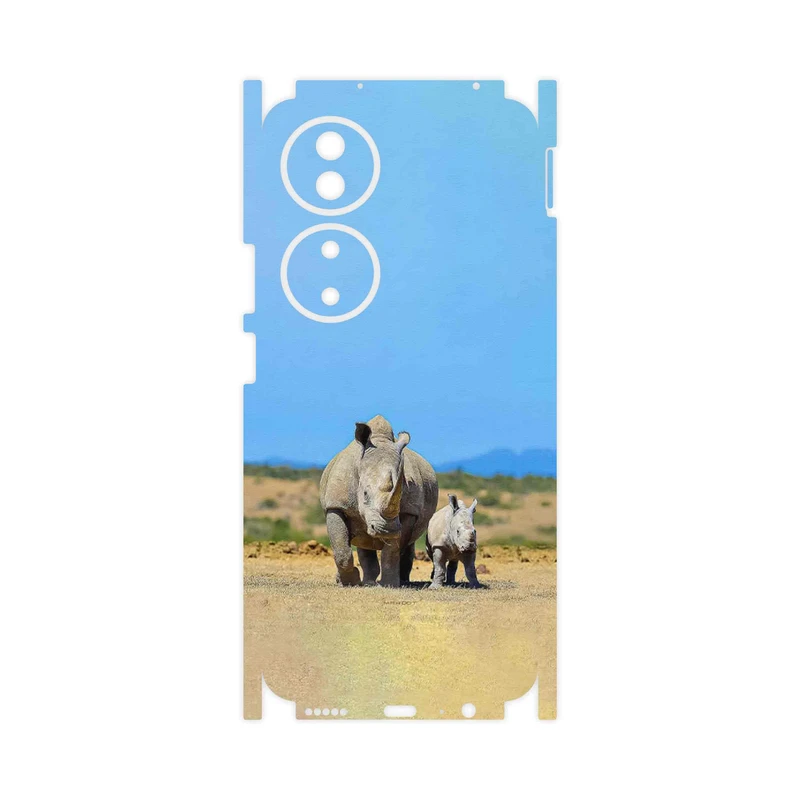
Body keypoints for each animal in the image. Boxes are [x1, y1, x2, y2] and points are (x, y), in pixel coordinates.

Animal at [319, 415, 439, 587]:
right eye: (365, 494)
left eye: (400, 495)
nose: (386, 530)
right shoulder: (336, 505)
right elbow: (341, 549)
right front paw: (349, 582)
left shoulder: (408, 512)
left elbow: (392, 550)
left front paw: (390, 584)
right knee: (362, 540)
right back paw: (366, 582)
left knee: (406, 544)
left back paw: (401, 581)